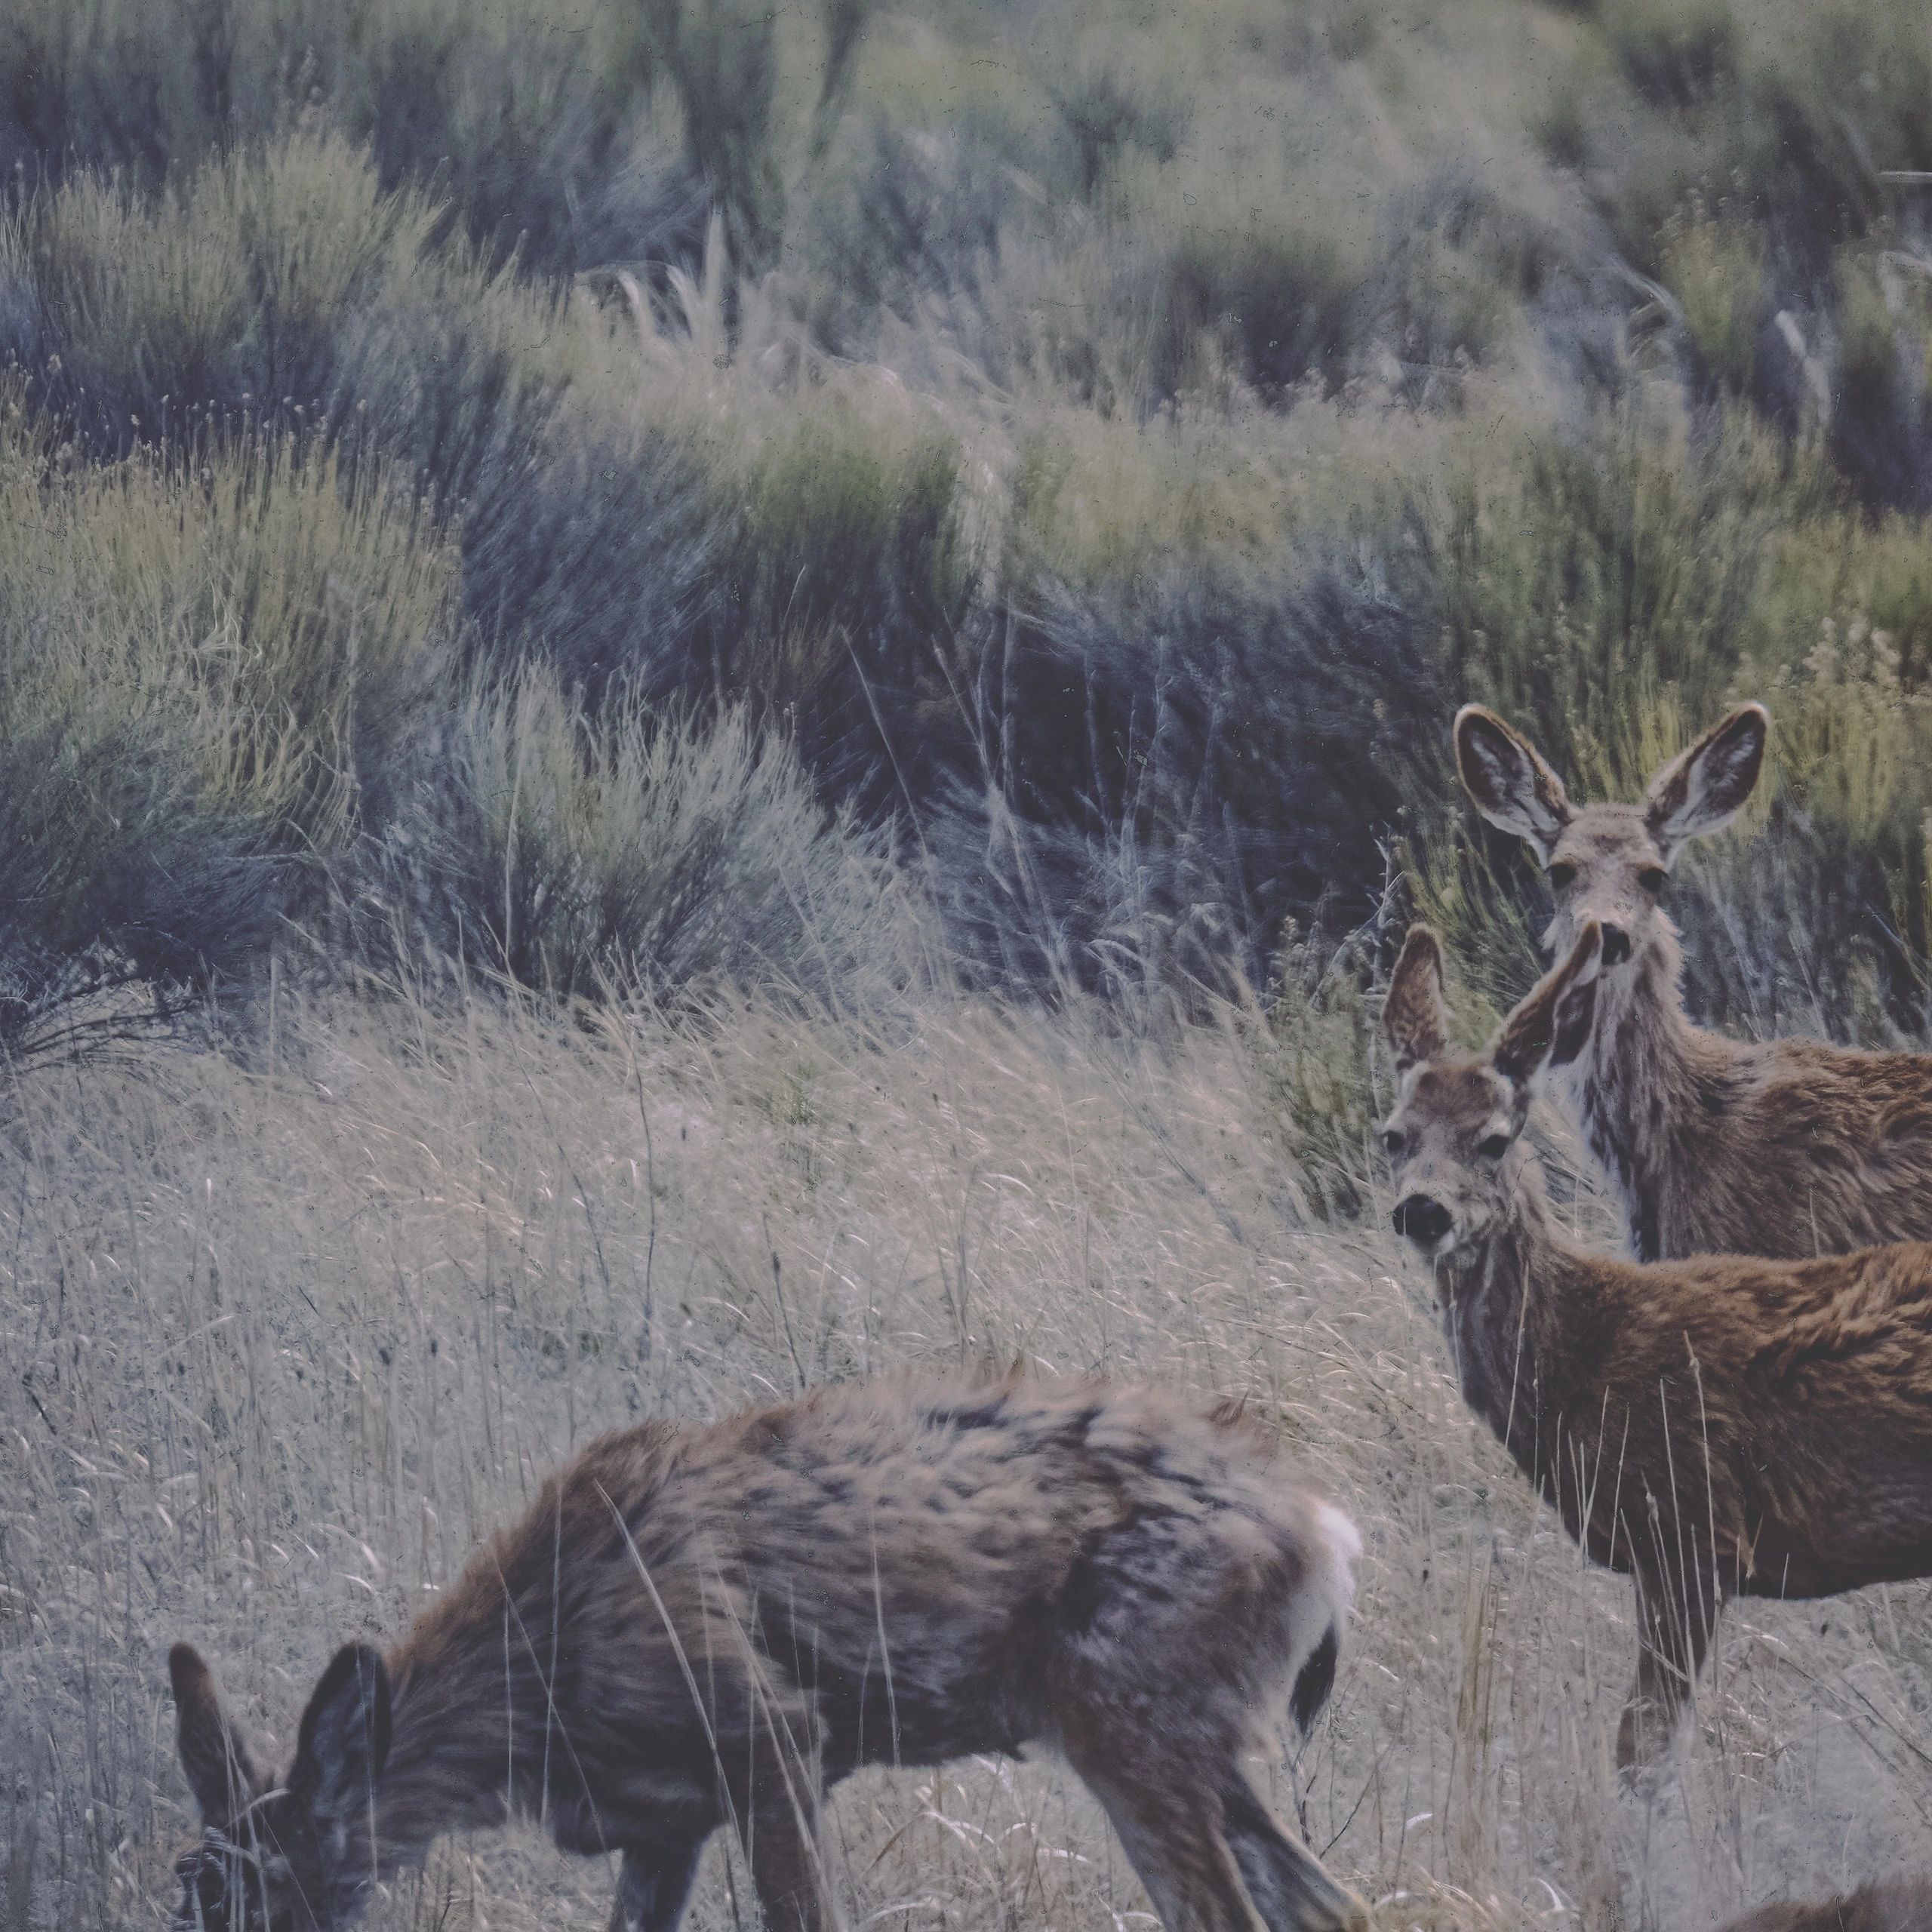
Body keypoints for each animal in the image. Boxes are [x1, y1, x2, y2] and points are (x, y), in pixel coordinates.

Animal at [165, 1371, 1369, 1932]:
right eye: (190, 1891)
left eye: (263, 1893)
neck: (538, 1669)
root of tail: (1323, 1529)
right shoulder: (664, 1822)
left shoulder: (771, 1736)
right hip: (1193, 1743)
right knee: (1328, 1905)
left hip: (1126, 1722)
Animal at [1377, 918, 1932, 1772]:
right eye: (1392, 1136)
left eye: (1496, 1139)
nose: (1423, 1210)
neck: (1580, 1357)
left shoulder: (1690, 1529)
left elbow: (1643, 1751)